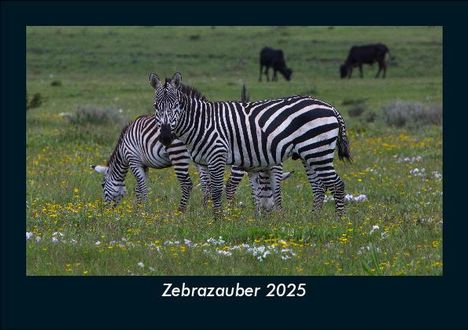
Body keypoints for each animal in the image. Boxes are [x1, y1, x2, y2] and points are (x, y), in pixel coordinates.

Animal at [150, 72, 352, 217]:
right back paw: (313, 219)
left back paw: (338, 221)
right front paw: (209, 216)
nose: (166, 137)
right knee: (318, 186)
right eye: (155, 106)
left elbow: (216, 190)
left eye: (176, 105)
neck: (202, 122)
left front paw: (218, 220)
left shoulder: (217, 154)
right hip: (309, 153)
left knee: (337, 184)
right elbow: (207, 190)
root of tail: (330, 107)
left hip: (317, 150)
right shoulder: (204, 162)